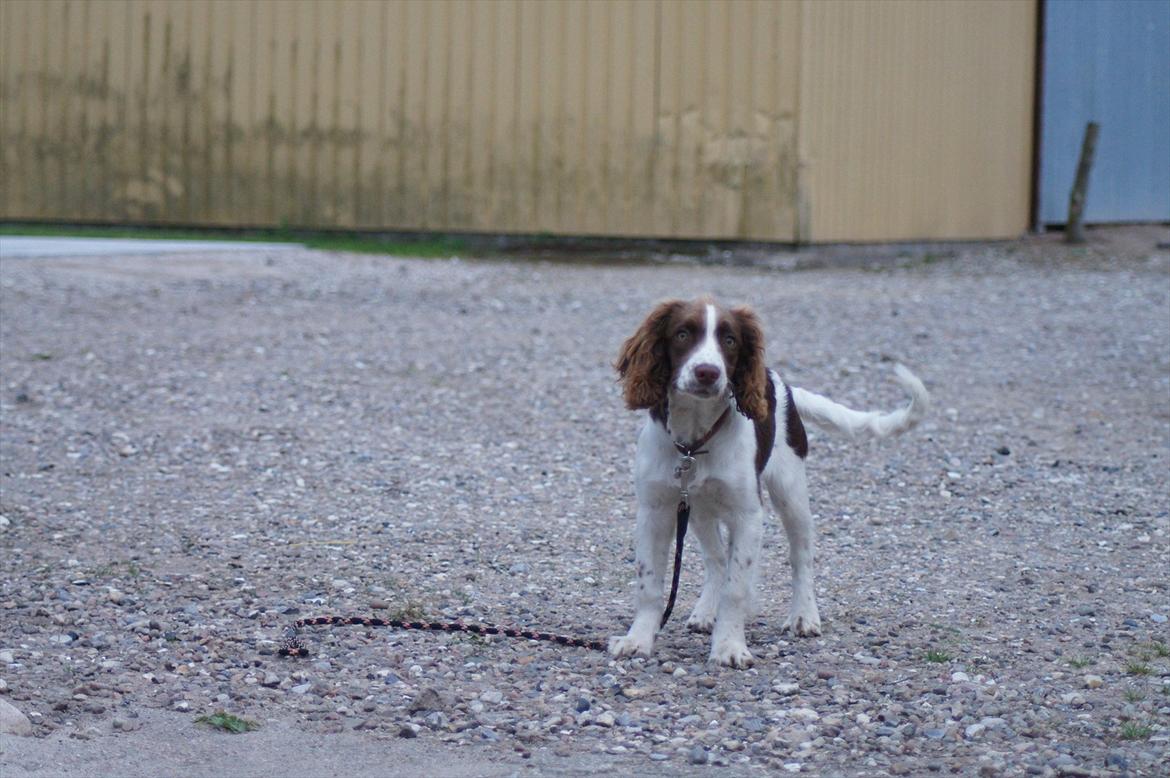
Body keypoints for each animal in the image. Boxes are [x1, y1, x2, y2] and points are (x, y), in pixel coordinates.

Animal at [608, 299, 926, 664]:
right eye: (683, 334)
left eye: (730, 340)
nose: (708, 372)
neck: (694, 442)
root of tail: (779, 382)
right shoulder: (655, 509)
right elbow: (649, 583)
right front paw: (638, 639)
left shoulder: (747, 514)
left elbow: (736, 587)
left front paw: (729, 646)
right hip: (698, 509)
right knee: (716, 560)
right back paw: (706, 612)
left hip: (791, 493)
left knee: (801, 557)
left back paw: (804, 615)